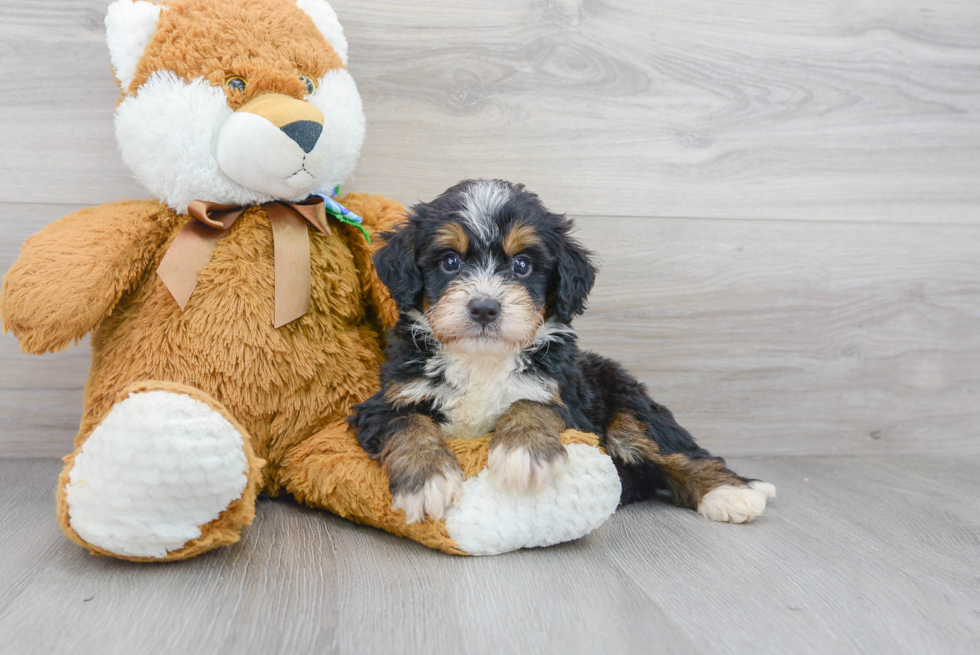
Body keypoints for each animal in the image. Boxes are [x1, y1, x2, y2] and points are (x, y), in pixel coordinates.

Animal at [348, 181, 776, 528]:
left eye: (522, 265)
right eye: (450, 261)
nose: (484, 308)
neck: (482, 359)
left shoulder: (567, 397)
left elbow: (532, 403)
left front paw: (525, 452)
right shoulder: (388, 399)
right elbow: (410, 424)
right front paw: (428, 478)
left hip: (627, 403)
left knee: (676, 452)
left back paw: (731, 493)